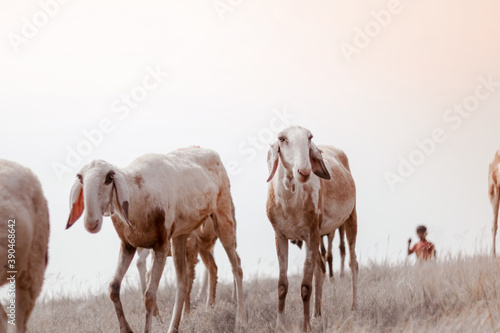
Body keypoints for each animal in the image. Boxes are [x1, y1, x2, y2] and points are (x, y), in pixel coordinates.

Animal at [66, 147, 246, 332]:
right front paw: (127, 329)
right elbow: (113, 287)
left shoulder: (160, 245)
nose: (91, 223)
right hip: (180, 237)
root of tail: (210, 151)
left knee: (236, 267)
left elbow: (150, 295)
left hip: (223, 218)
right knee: (183, 282)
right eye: (80, 178)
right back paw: (174, 327)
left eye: (109, 178)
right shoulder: (128, 245)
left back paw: (241, 321)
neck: (137, 194)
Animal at [268, 126, 358, 330]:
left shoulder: (312, 233)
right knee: (320, 269)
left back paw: (354, 308)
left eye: (309, 138)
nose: (304, 170)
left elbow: (305, 286)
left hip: (350, 218)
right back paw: (317, 313)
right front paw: (280, 326)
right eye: (282, 138)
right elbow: (282, 285)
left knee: (353, 263)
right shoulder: (280, 235)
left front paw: (306, 326)